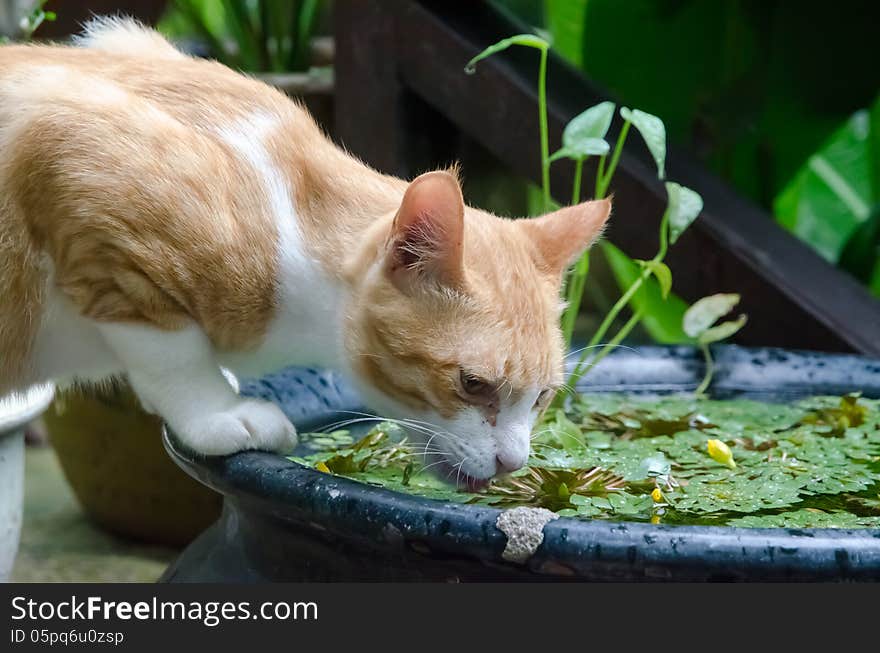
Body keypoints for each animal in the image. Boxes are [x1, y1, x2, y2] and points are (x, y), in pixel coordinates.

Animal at [0, 17, 608, 484]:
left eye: (543, 396)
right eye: (473, 385)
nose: (512, 463)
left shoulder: (118, 39)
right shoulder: (77, 157)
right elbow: (173, 352)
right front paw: (216, 412)